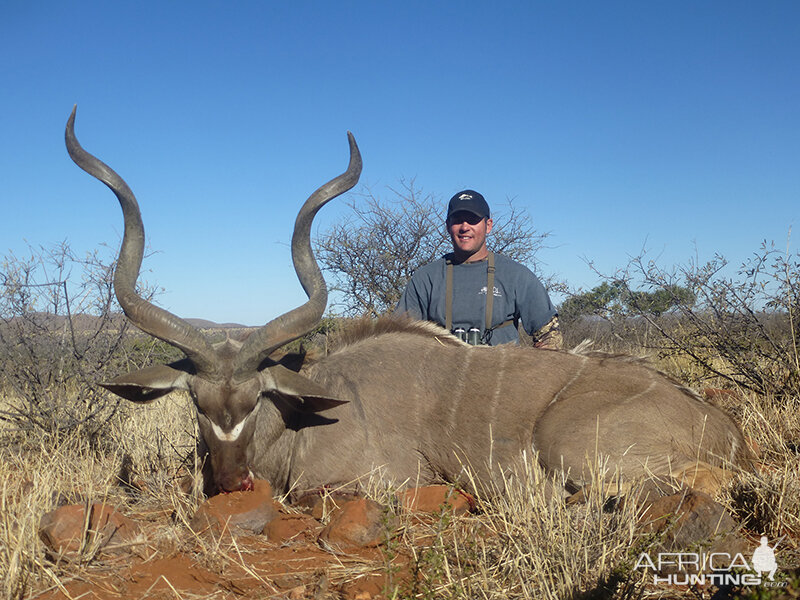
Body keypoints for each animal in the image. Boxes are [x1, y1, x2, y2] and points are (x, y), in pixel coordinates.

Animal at [67, 108, 752, 496]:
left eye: (258, 398)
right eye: (196, 402)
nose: (231, 480)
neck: (312, 406)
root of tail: (726, 433)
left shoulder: (369, 483)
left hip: (571, 446)